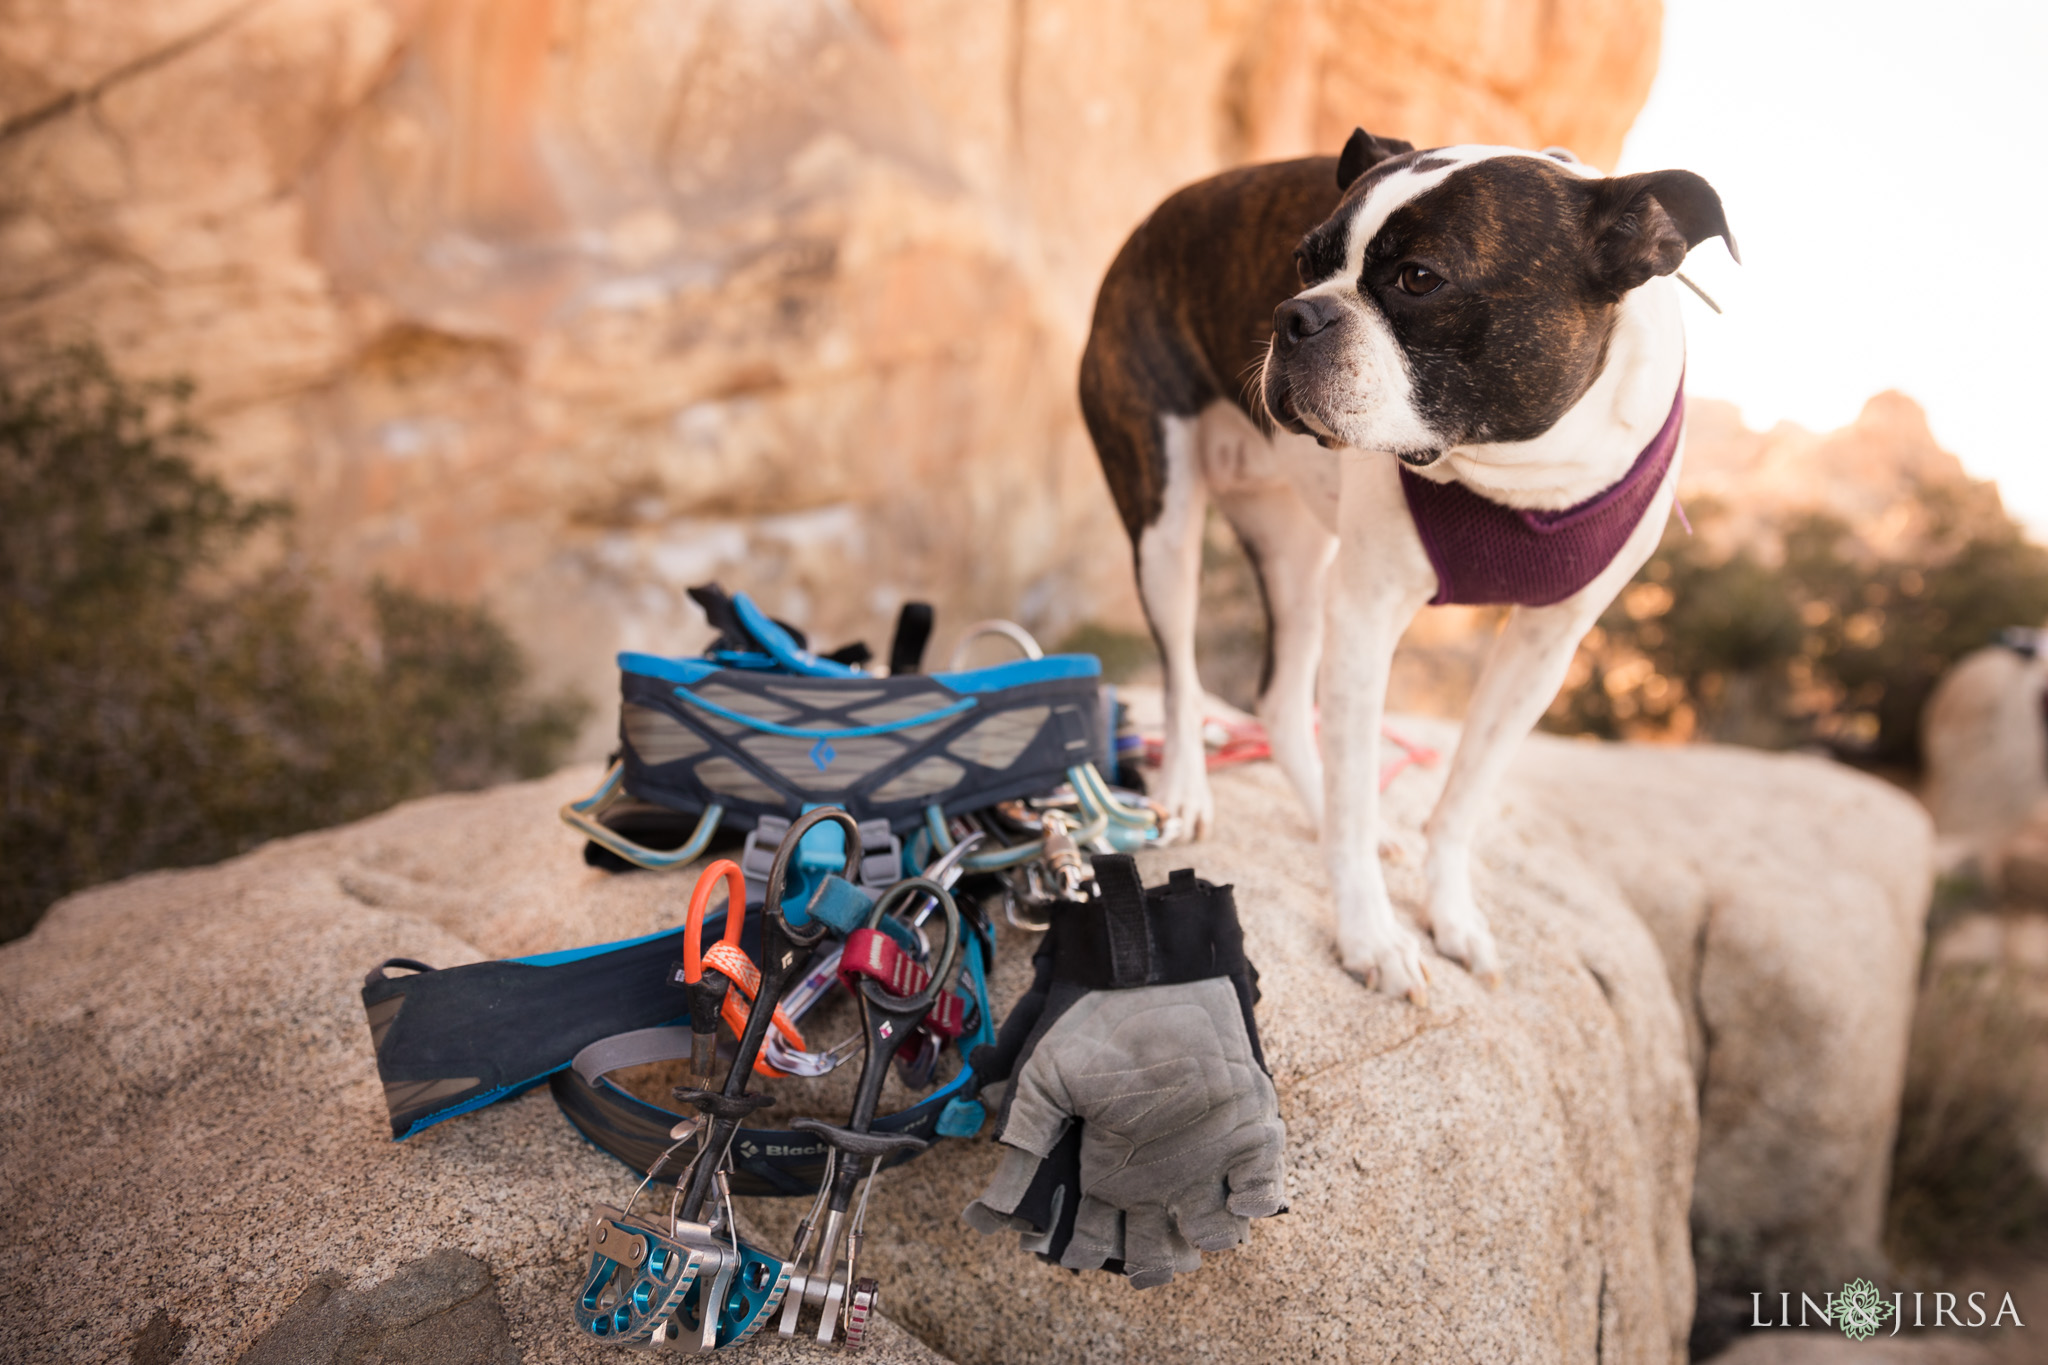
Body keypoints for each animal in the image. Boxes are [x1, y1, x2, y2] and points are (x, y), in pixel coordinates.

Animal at [1081, 127, 1736, 998]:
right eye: (1303, 261)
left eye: (1418, 279)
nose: (1294, 314)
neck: (1514, 473)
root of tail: (1146, 227)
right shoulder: (1366, 615)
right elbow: (1358, 799)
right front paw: (1371, 936)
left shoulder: (1543, 650)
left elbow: (1461, 798)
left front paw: (1450, 914)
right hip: (1165, 516)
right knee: (1185, 676)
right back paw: (1186, 789)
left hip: (1295, 553)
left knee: (1279, 698)